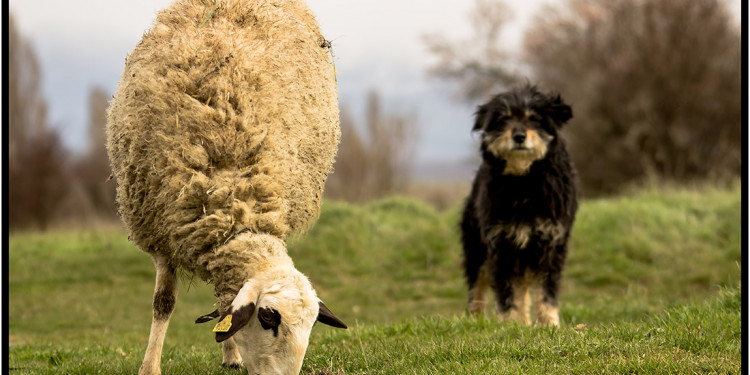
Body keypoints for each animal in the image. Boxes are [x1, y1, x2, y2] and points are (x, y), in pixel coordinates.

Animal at [106, 1, 350, 374]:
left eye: (310, 327)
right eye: (268, 318)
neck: (231, 197)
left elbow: (224, 313)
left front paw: (231, 353)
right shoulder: (160, 228)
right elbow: (164, 302)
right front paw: (150, 367)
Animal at [458, 85, 580, 326]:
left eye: (533, 118)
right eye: (503, 119)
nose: (519, 136)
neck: (524, 182)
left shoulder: (551, 243)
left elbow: (546, 290)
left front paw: (548, 324)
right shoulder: (501, 244)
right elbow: (507, 292)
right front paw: (510, 324)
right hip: (477, 248)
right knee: (477, 289)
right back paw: (476, 321)